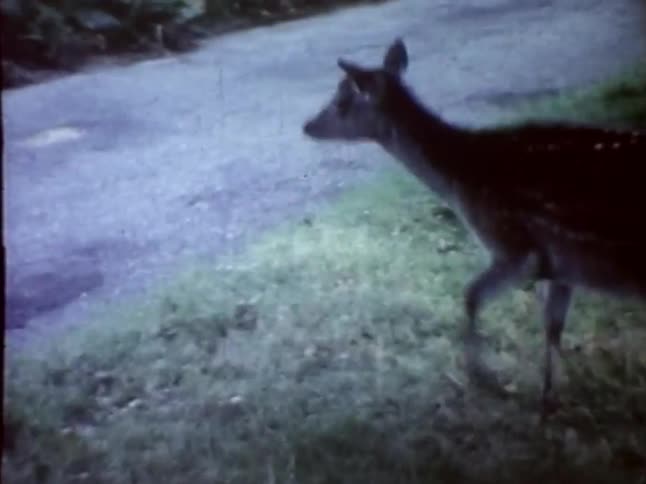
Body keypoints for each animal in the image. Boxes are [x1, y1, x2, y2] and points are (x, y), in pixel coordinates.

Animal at [302, 37, 646, 416]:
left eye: (341, 101)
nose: (307, 125)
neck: (460, 180)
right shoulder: (560, 267)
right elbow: (552, 329)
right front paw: (552, 397)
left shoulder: (516, 247)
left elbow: (470, 296)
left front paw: (483, 378)